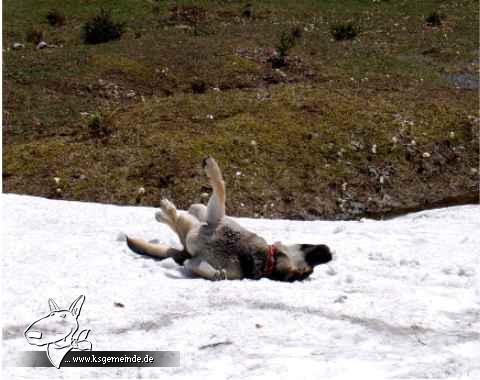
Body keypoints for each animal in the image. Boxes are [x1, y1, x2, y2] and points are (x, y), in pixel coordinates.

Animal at [125, 156, 332, 280]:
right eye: (307, 246)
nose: (327, 251)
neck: (263, 258)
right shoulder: (215, 217)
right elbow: (220, 186)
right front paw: (212, 166)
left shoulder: (200, 252)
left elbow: (198, 266)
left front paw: (215, 273)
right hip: (201, 210)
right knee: (186, 217)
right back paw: (166, 211)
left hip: (196, 224)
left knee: (180, 223)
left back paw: (166, 211)